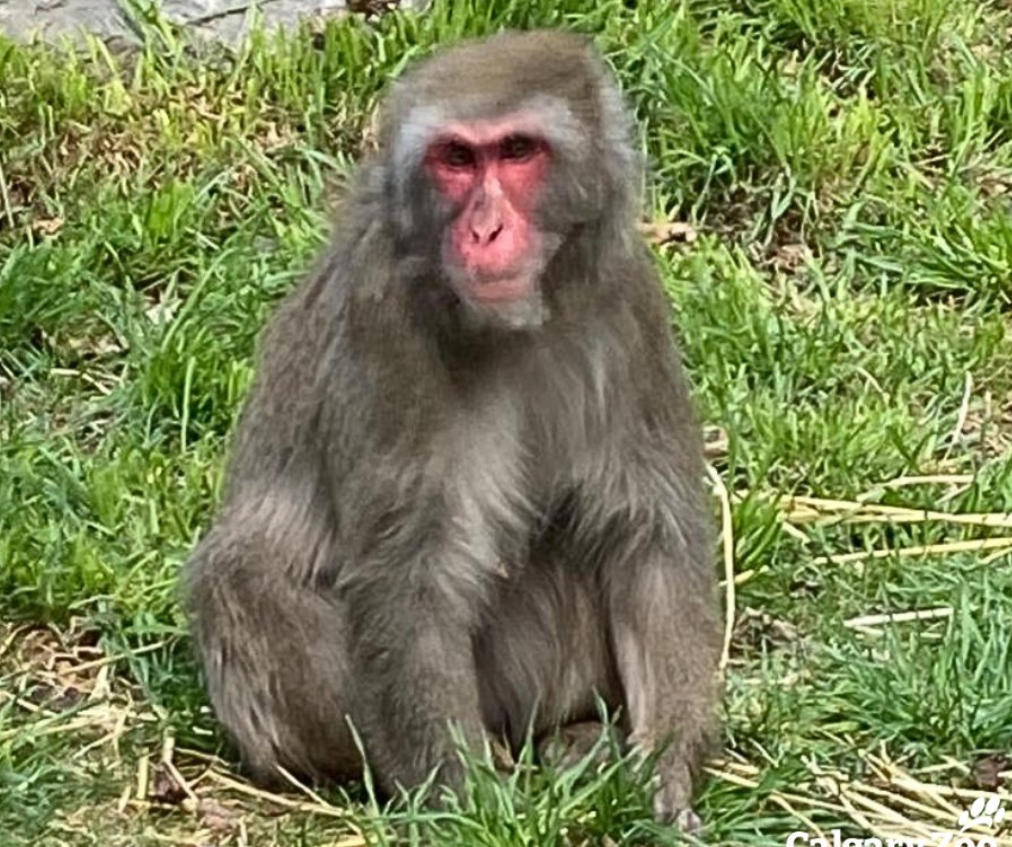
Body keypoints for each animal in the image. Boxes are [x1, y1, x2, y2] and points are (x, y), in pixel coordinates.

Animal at [184, 28, 720, 833]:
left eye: (519, 150)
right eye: (456, 159)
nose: (485, 228)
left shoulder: (627, 300)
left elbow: (645, 534)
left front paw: (669, 766)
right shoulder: (384, 328)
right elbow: (409, 573)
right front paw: (469, 800)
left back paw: (572, 734)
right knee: (239, 577)